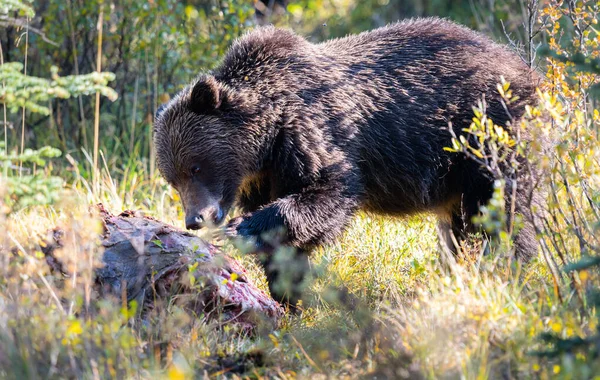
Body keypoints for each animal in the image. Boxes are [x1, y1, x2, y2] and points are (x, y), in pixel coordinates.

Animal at [155, 17, 544, 306]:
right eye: (172, 179)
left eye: (195, 167)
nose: (195, 219)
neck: (267, 139)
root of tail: (526, 67)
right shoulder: (264, 175)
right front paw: (288, 294)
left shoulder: (311, 133)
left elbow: (329, 190)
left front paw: (242, 228)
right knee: (459, 225)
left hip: (488, 134)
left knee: (500, 210)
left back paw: (507, 266)